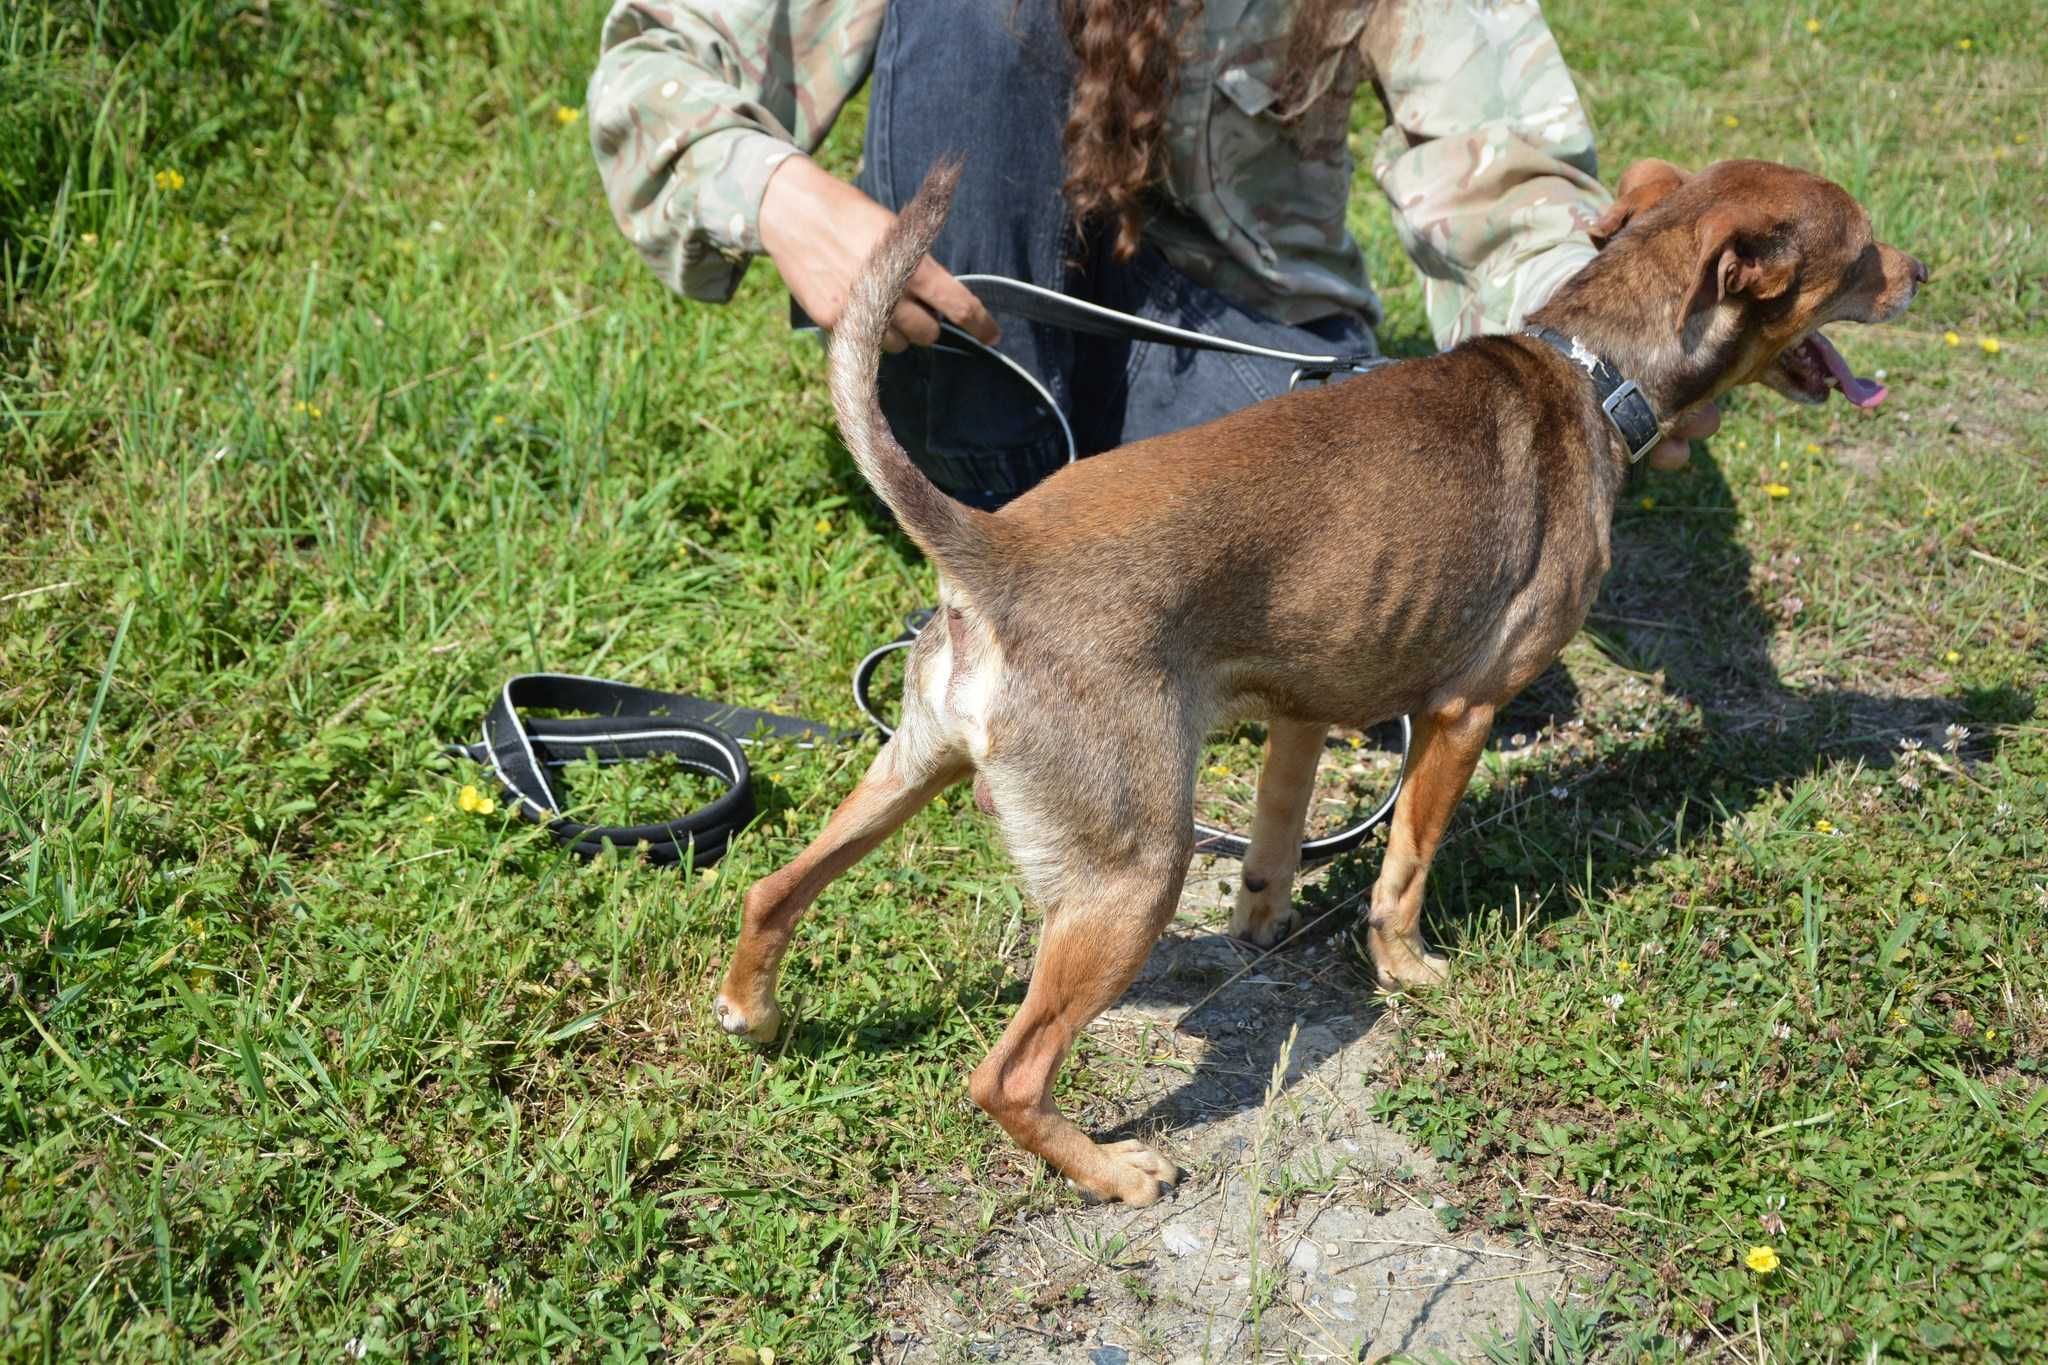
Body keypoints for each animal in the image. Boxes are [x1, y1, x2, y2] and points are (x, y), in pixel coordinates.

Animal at [716, 162, 1916, 1203]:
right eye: (1861, 253)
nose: (1920, 270)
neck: (1592, 369)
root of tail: (990, 552)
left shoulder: (1302, 709)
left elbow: (1276, 841)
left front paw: (1261, 927)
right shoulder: (1461, 713)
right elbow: (1404, 871)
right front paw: (1410, 970)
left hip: (906, 773)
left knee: (774, 888)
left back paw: (754, 1014)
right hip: (1131, 875)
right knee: (1004, 1074)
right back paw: (1110, 1171)